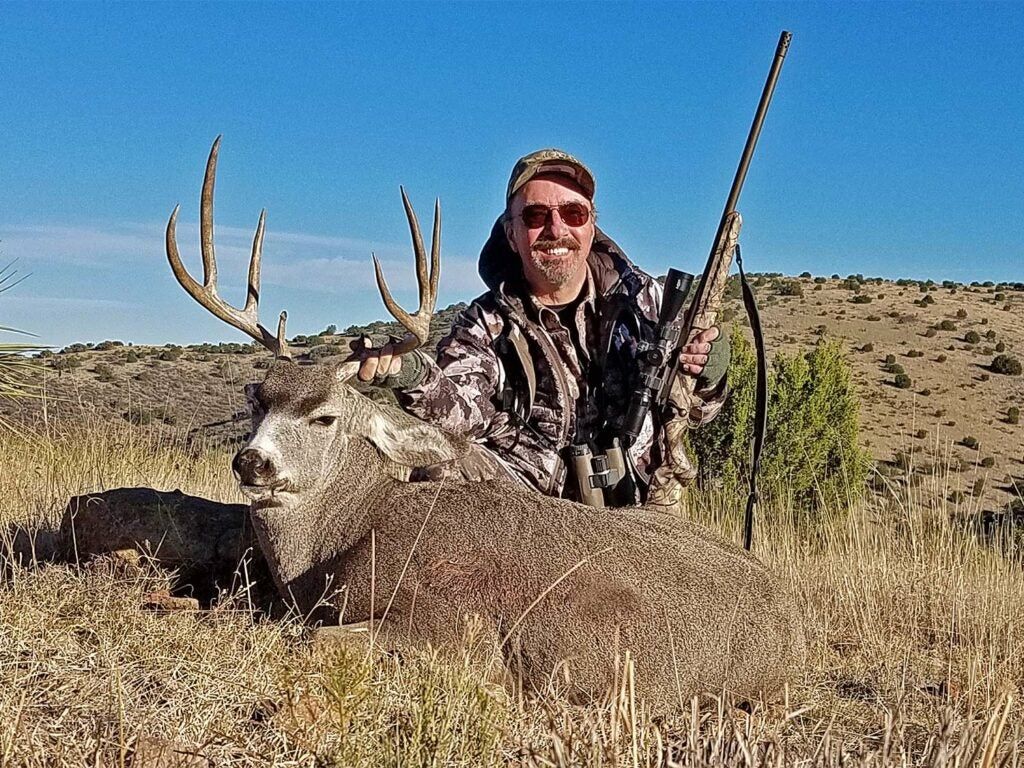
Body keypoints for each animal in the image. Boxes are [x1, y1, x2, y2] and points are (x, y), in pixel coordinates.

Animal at [163, 137, 805, 710]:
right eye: (257, 401)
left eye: (324, 416)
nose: (252, 462)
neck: (342, 540)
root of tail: (791, 624)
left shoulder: (448, 624)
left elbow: (311, 639)